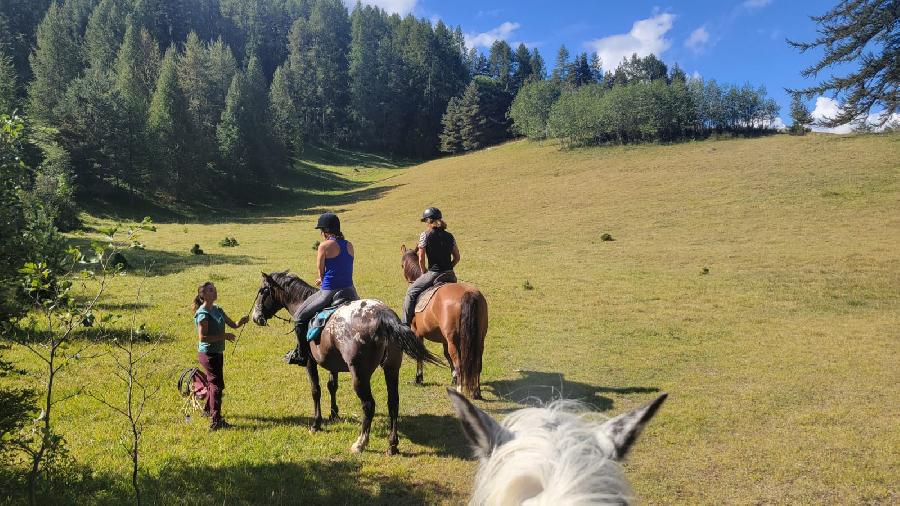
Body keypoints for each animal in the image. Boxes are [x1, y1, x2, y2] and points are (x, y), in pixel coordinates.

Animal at [251, 272, 442, 454]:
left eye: (262, 291)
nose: (255, 317)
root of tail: (384, 316)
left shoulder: (310, 362)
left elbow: (316, 390)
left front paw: (316, 423)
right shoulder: (332, 364)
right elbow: (332, 386)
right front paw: (334, 414)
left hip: (359, 375)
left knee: (369, 405)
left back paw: (360, 443)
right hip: (392, 368)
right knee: (393, 402)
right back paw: (392, 445)